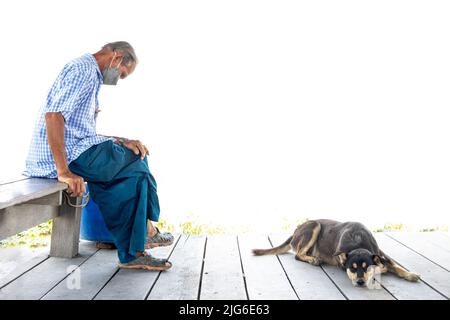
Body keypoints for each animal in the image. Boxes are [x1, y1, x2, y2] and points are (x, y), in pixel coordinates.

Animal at [251, 220, 420, 288]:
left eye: (365, 267)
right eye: (352, 268)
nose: (360, 282)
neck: (358, 241)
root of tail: (295, 231)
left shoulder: (380, 253)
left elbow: (393, 264)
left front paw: (410, 274)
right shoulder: (342, 264)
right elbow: (382, 266)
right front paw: (382, 268)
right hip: (314, 225)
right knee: (298, 254)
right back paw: (313, 260)